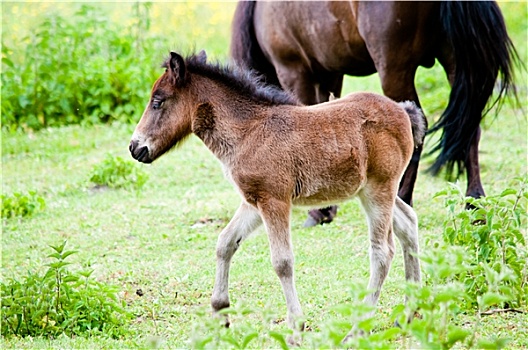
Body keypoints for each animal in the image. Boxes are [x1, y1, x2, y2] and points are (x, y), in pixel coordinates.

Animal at [230, 0, 516, 227]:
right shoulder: (330, 74)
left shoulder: (295, 71)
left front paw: (319, 212)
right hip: (458, 63)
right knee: (469, 126)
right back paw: (474, 203)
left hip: (394, 69)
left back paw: (402, 197)